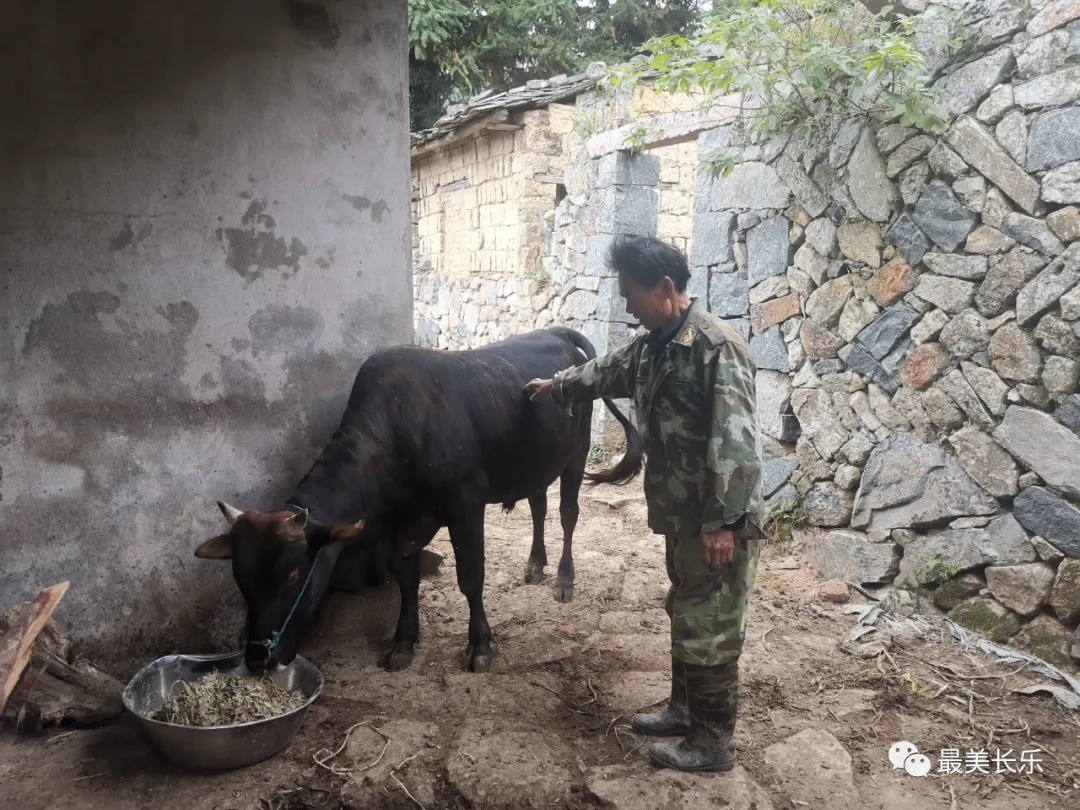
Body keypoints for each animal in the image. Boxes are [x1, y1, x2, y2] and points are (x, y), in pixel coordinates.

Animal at [192, 326, 639, 673]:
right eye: (240, 578)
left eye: (291, 575)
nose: (256, 660)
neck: (397, 429)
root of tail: (557, 333)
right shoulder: (403, 522)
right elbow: (406, 579)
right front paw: (403, 642)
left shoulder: (466, 505)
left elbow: (470, 577)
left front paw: (480, 646)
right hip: (534, 465)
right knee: (538, 507)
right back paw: (534, 566)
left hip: (577, 455)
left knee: (567, 514)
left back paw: (563, 579)